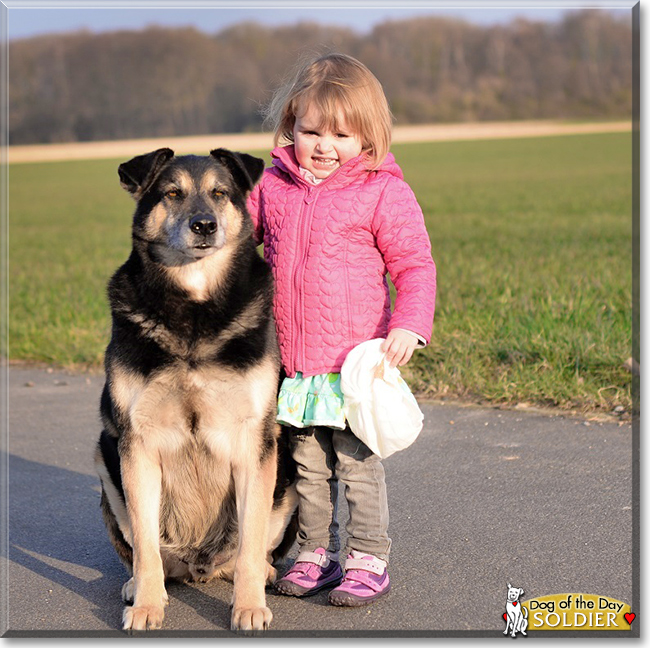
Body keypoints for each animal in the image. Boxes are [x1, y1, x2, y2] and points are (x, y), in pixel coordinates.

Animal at [93, 148, 296, 632]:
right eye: (172, 193)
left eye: (220, 193)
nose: (204, 225)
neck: (194, 308)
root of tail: (200, 566)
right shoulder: (136, 443)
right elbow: (145, 547)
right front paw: (147, 606)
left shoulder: (254, 441)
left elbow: (250, 542)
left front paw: (249, 606)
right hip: (105, 459)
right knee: (148, 554)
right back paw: (136, 586)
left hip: (286, 475)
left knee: (249, 552)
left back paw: (263, 574)